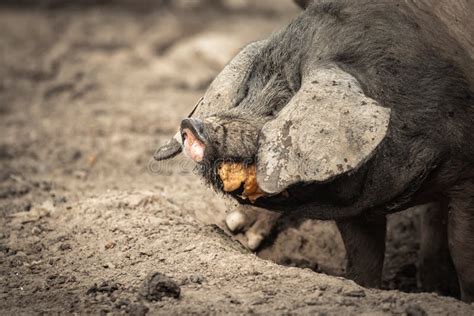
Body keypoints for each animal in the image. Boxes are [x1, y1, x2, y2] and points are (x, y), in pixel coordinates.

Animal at [156, 0, 474, 302]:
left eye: (281, 105)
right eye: (246, 92)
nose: (191, 125)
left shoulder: (465, 178)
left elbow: (462, 249)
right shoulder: (356, 204)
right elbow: (362, 258)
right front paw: (365, 288)